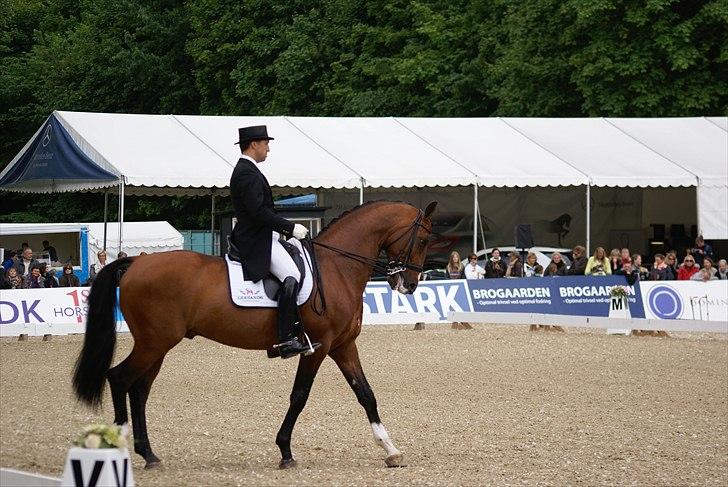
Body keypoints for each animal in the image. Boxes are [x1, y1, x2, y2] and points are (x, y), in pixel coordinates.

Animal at [74, 200, 438, 470]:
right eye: (422, 240)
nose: (409, 285)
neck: (337, 267)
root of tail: (135, 263)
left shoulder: (343, 346)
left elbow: (366, 394)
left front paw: (391, 450)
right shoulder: (318, 347)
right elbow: (299, 396)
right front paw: (286, 451)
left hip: (157, 346)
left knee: (139, 390)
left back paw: (149, 455)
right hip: (154, 343)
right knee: (120, 378)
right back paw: (120, 446)